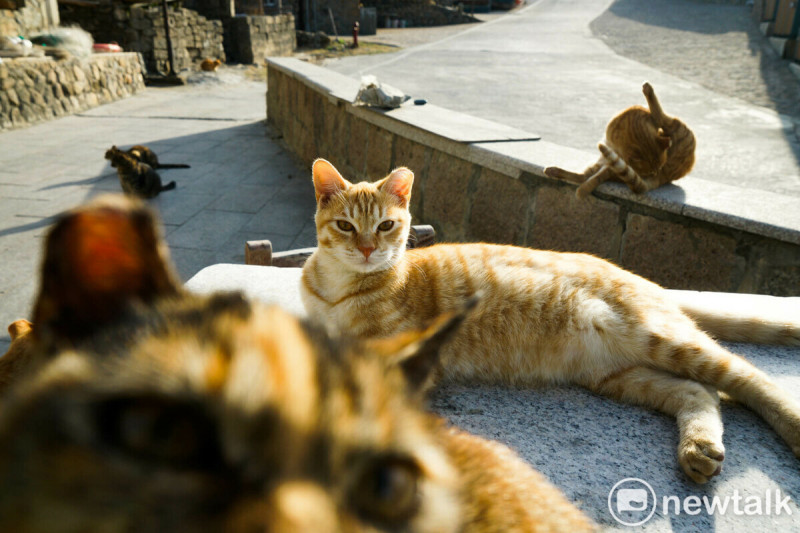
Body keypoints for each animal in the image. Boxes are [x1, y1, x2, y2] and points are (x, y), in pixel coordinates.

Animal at [302, 157, 800, 482]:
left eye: (386, 226)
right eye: (346, 226)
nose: (368, 249)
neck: (339, 290)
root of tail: (647, 283)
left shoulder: (410, 358)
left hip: (662, 339)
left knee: (748, 377)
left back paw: (790, 426)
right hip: (618, 375)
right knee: (699, 392)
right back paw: (698, 448)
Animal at [544, 82, 692, 198]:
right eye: (649, 173)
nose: (654, 173)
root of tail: (665, 177)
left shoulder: (613, 162)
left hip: (679, 128)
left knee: (662, 116)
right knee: (583, 176)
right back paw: (553, 171)